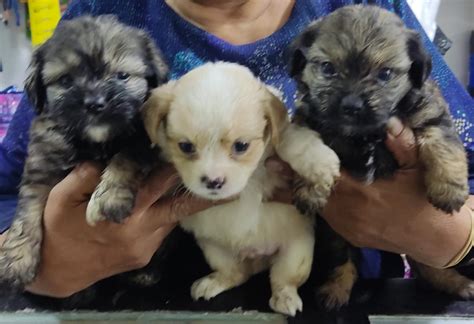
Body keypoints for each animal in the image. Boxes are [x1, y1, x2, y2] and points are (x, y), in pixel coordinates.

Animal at [0, 15, 168, 288]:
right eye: (66, 80)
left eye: (122, 76)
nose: (95, 103)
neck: (94, 142)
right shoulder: (42, 166)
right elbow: (29, 207)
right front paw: (18, 258)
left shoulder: (145, 140)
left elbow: (127, 156)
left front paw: (110, 196)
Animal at [143, 61, 338, 316]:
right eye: (185, 147)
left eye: (241, 146)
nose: (213, 181)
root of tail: (256, 259)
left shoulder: (276, 149)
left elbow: (291, 139)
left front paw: (319, 164)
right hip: (215, 249)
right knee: (236, 273)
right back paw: (213, 282)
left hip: (297, 252)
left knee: (283, 279)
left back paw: (285, 298)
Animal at [286, 4, 472, 308]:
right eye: (328, 68)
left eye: (385, 74)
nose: (351, 105)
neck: (364, 134)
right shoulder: (309, 121)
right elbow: (311, 150)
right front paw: (311, 189)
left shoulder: (429, 111)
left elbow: (443, 144)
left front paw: (449, 189)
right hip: (335, 232)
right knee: (342, 259)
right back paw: (335, 290)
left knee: (428, 264)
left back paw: (455, 283)